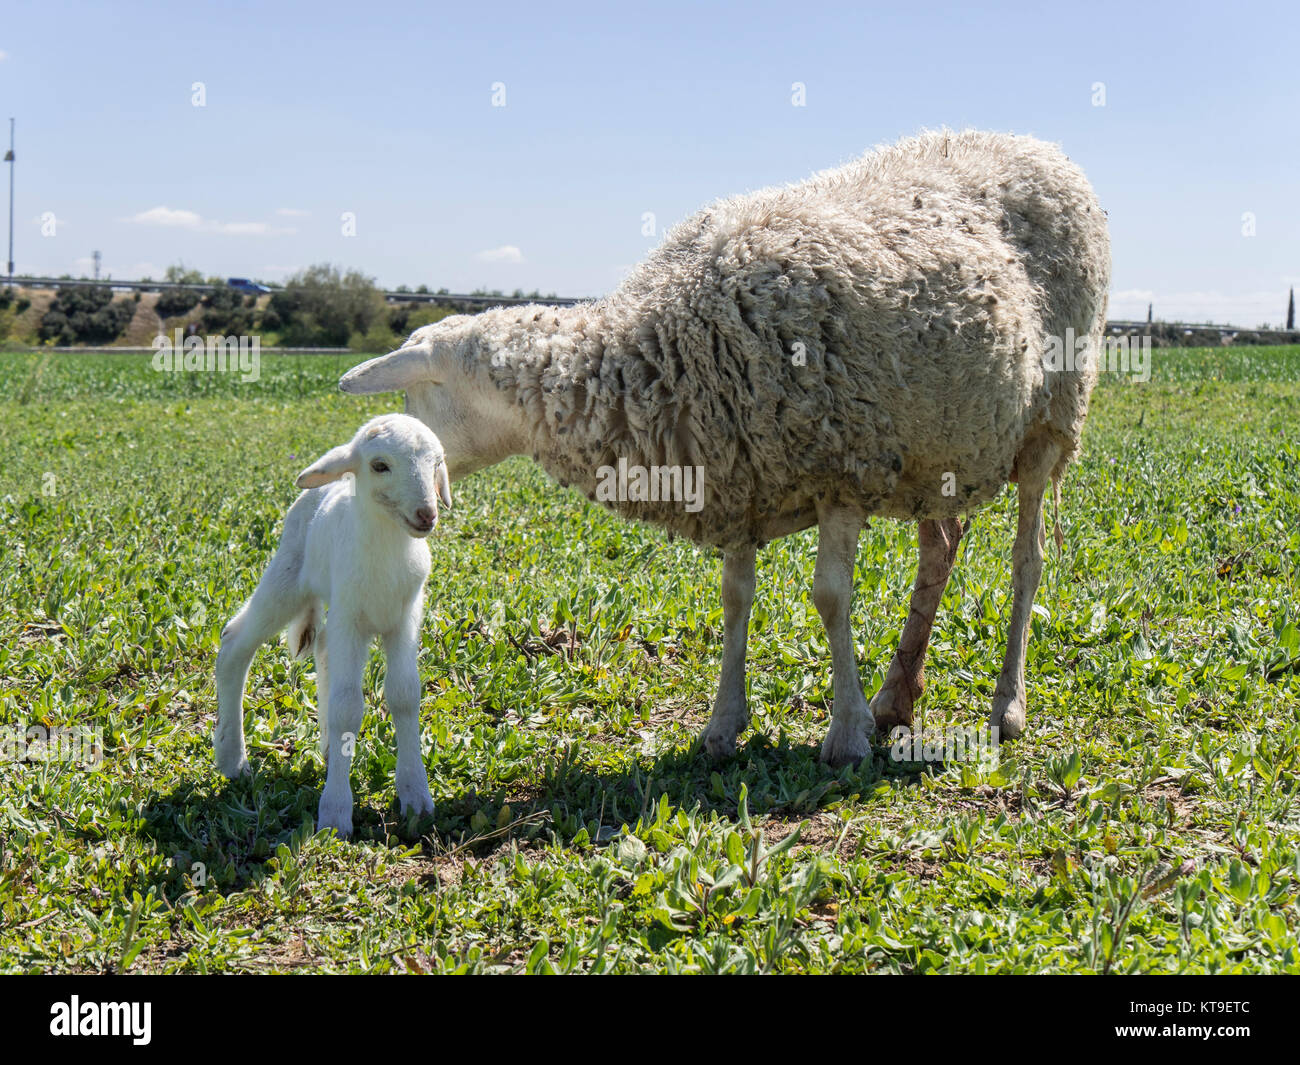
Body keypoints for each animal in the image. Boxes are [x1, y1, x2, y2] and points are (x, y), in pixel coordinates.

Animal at [213, 413, 453, 837]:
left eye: (436, 462)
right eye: (379, 465)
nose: (428, 514)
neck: (388, 551)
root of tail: (330, 484)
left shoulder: (404, 617)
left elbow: (404, 695)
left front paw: (415, 796)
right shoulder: (351, 618)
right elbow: (347, 707)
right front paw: (336, 813)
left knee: (322, 648)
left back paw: (328, 748)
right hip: (288, 577)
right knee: (234, 643)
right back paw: (232, 758)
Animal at [338, 130, 1110, 766]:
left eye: (417, 407)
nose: (416, 505)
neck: (658, 353)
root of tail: (1043, 148)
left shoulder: (840, 470)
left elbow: (829, 596)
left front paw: (845, 732)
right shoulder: (736, 475)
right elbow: (736, 599)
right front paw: (722, 725)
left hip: (1051, 421)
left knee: (1027, 561)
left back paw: (1005, 706)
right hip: (940, 443)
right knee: (940, 550)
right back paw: (898, 694)